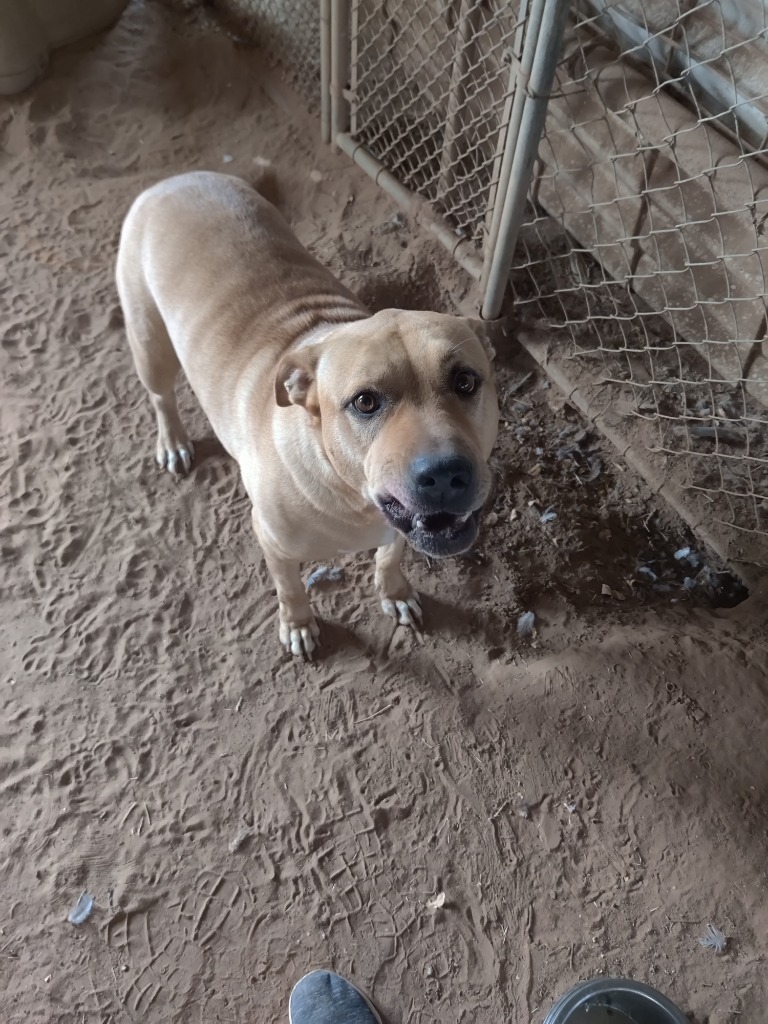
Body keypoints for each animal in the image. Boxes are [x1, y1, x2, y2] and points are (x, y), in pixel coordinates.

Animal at [114, 169, 499, 655]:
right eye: (365, 401)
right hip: (149, 341)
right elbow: (290, 587)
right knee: (161, 395)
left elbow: (390, 556)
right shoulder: (272, 540)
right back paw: (173, 441)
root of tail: (178, 178)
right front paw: (297, 624)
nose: (446, 475)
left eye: (465, 381)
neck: (349, 492)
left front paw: (394, 592)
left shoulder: (396, 528)